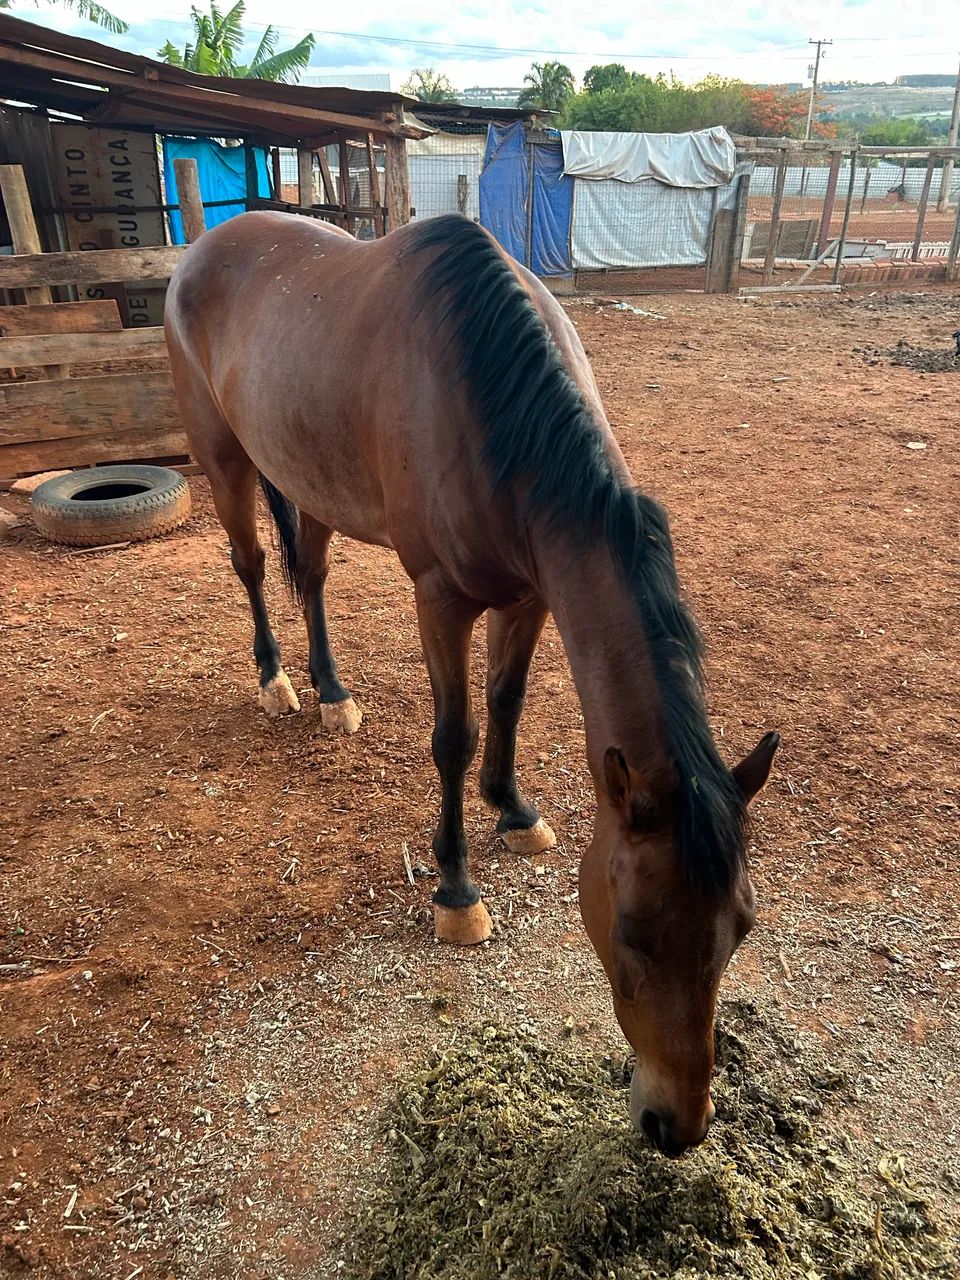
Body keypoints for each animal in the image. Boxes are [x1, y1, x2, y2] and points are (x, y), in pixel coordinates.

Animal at [164, 211, 779, 1156]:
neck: (491, 406)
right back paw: (276, 682)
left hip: (309, 477)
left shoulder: (528, 594)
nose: (675, 1125)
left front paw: (514, 811)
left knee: (312, 574)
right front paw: (456, 889)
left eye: (739, 927)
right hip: (223, 458)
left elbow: (507, 704)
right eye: (632, 929)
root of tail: (205, 245)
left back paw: (332, 693)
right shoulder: (441, 599)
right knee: (254, 565)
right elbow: (452, 736)